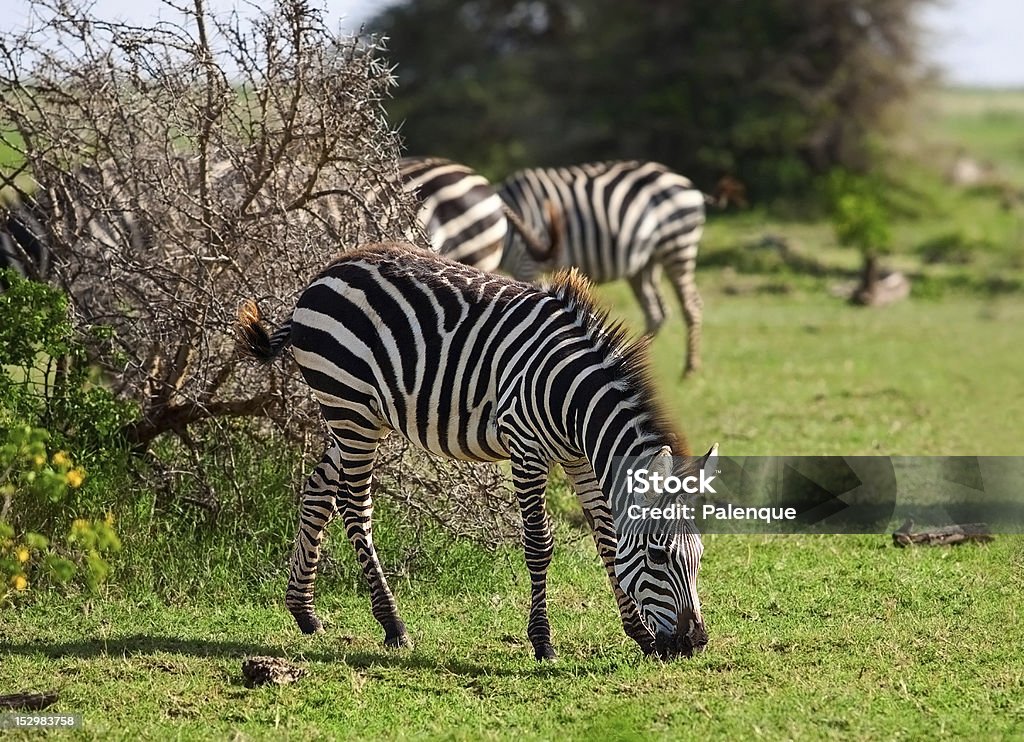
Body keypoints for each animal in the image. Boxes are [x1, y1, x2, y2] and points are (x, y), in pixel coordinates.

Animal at [234, 243, 716, 659]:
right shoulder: (526, 448)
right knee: (355, 507)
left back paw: (304, 611)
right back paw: (392, 624)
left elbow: (608, 539)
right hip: (349, 408)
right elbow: (539, 543)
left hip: (358, 415)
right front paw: (542, 641)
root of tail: (324, 272)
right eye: (658, 555)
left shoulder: (579, 458)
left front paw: (639, 634)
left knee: (319, 490)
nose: (693, 643)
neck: (574, 399)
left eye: (699, 557)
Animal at [499, 158, 708, 372]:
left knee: (691, 305)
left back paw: (690, 367)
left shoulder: (527, 264)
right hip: (646, 262)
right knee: (656, 312)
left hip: (678, 247)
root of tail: (684, 181)